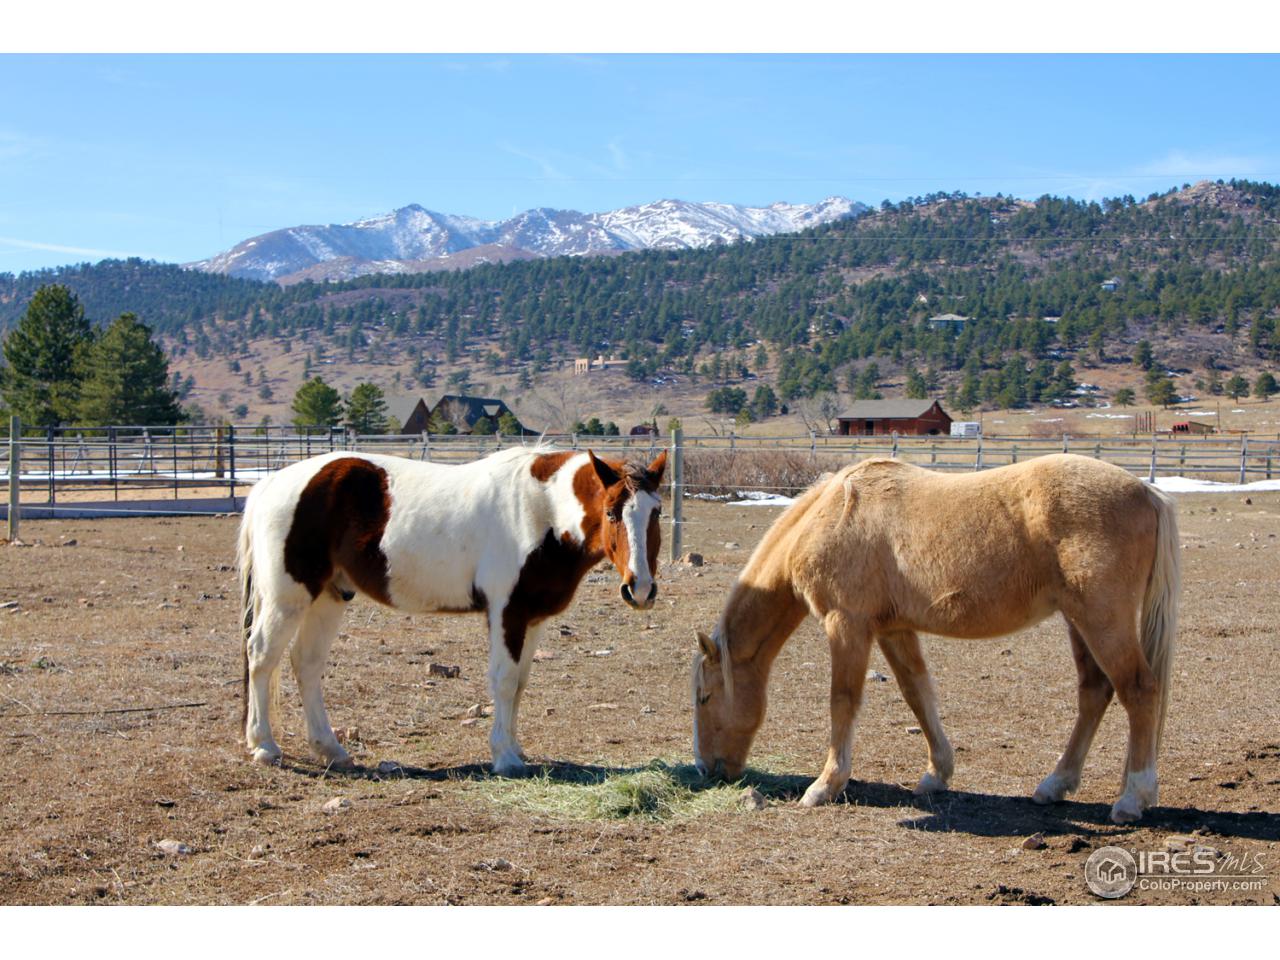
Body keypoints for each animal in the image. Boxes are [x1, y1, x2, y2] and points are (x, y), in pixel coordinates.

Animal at [238, 444, 667, 776]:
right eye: (611, 512)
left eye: (657, 512)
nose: (640, 589)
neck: (539, 510)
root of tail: (270, 483)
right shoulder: (506, 612)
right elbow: (504, 681)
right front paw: (505, 758)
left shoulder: (533, 618)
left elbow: (521, 683)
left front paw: (516, 748)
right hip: (287, 598)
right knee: (262, 657)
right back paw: (264, 746)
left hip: (328, 597)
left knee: (306, 664)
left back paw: (330, 750)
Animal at [691, 453, 1179, 824]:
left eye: (704, 697)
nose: (706, 769)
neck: (833, 513)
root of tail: (1146, 492)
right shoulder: (893, 629)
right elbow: (918, 695)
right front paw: (936, 775)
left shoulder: (846, 624)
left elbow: (842, 701)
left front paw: (825, 786)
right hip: (1079, 621)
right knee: (1094, 692)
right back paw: (1055, 785)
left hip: (1102, 619)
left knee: (1139, 690)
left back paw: (1132, 798)